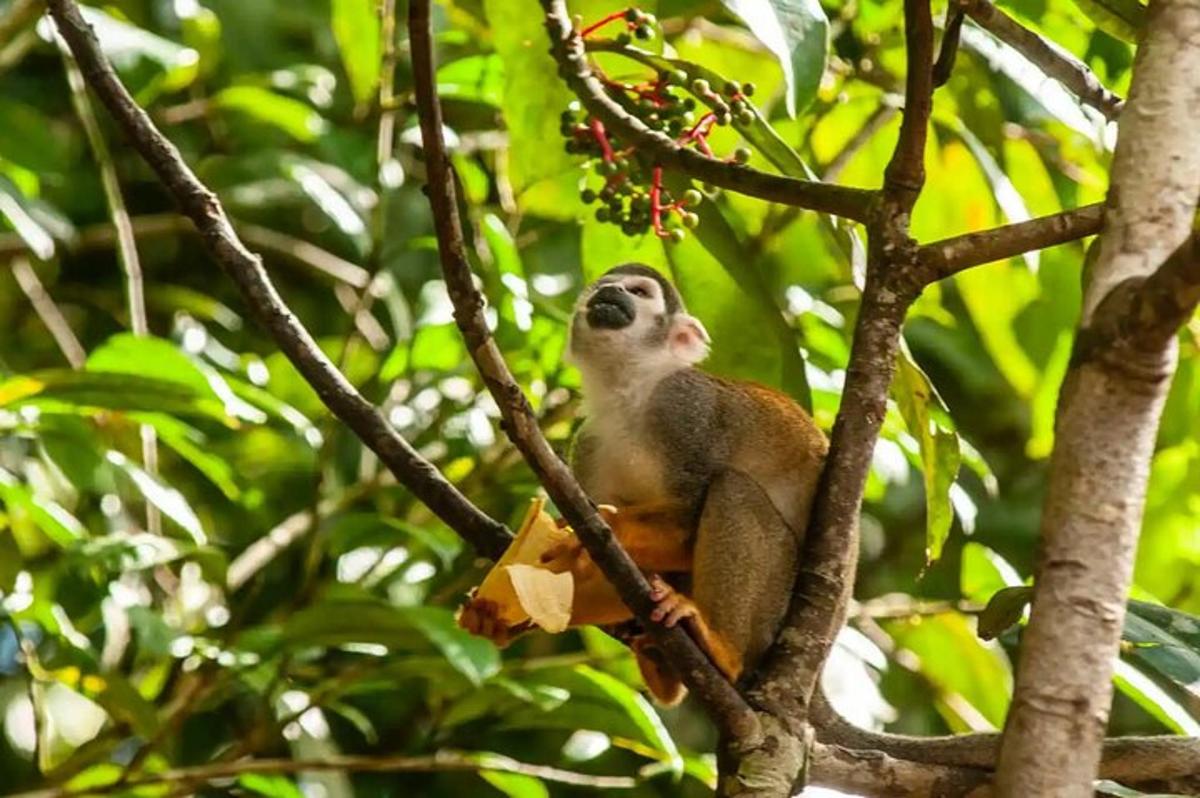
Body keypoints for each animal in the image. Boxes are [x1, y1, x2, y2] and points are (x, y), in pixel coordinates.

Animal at [460, 262, 825, 705]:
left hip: (774, 608)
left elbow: (687, 522)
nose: (611, 292)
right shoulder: (588, 442)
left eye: (638, 292)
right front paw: (501, 619)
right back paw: (662, 668)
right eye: (603, 287)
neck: (629, 393)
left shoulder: (684, 408)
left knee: (732, 488)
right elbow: (594, 569)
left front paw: (605, 527)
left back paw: (723, 651)